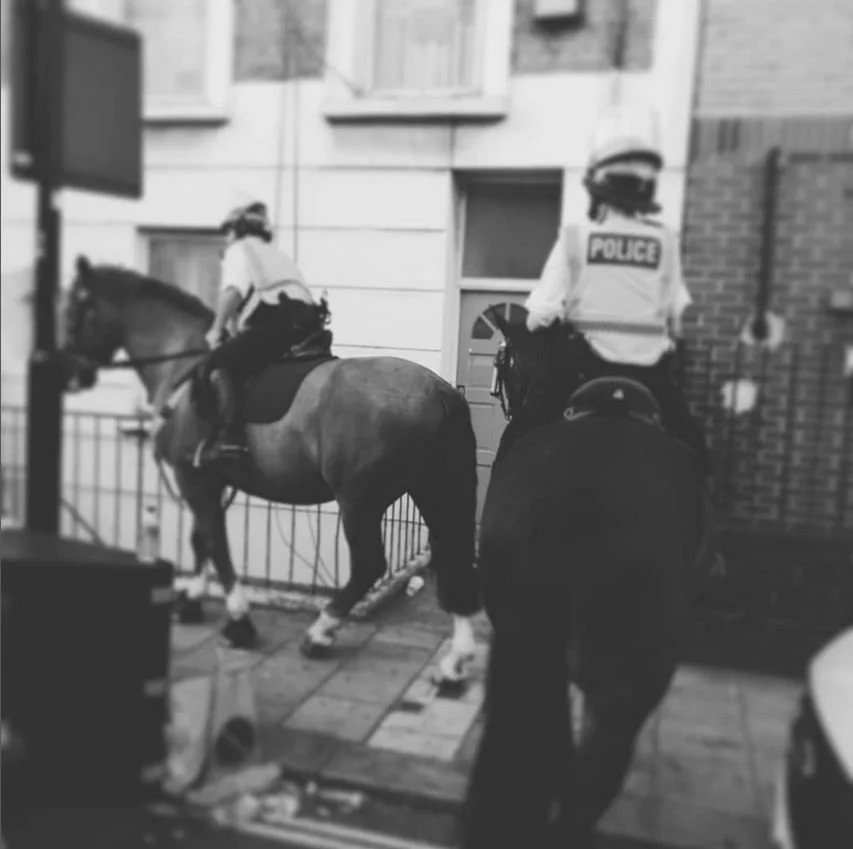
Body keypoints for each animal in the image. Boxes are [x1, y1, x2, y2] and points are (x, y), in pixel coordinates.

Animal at [58, 256, 481, 684]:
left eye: (75, 310)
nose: (70, 372)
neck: (181, 364)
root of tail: (439, 392)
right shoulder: (210, 481)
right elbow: (201, 540)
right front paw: (192, 601)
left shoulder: (194, 478)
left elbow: (216, 544)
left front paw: (239, 621)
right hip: (434, 490)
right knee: (451, 556)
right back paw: (456, 659)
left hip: (360, 500)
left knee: (368, 565)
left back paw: (321, 631)